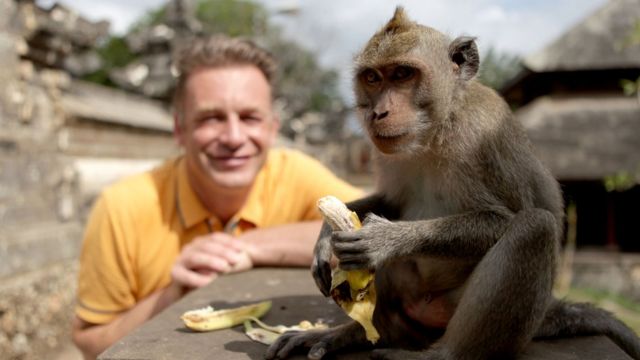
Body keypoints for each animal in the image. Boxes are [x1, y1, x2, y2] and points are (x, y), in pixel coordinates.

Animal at [264, 6, 640, 360]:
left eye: (403, 74)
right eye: (372, 78)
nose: (378, 113)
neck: (437, 129)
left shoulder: (483, 137)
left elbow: (504, 218)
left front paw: (384, 240)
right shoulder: (386, 152)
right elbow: (391, 200)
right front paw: (326, 236)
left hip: (455, 313)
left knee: (535, 227)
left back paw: (445, 354)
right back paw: (355, 334)